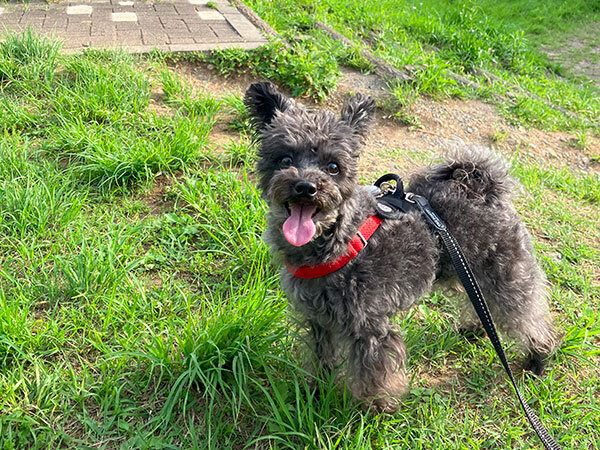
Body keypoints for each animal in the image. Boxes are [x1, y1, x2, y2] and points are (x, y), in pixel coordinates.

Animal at [243, 81, 556, 412]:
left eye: (333, 167)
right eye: (285, 160)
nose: (305, 187)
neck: (339, 241)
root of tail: (483, 188)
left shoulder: (370, 327)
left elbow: (374, 376)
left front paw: (374, 411)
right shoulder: (318, 321)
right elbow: (320, 359)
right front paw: (315, 392)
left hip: (506, 274)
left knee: (527, 314)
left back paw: (539, 356)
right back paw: (476, 329)